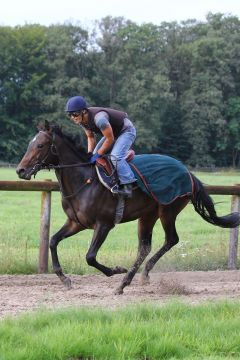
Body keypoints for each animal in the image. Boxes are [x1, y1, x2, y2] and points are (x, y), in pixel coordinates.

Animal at [16, 119, 240, 294]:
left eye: (40, 145)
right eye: (30, 144)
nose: (20, 170)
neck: (84, 180)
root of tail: (188, 173)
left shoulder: (104, 224)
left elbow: (90, 256)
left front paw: (115, 270)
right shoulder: (76, 222)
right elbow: (53, 241)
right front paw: (65, 279)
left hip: (167, 210)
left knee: (171, 239)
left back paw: (134, 276)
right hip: (147, 216)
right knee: (145, 247)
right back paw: (128, 281)